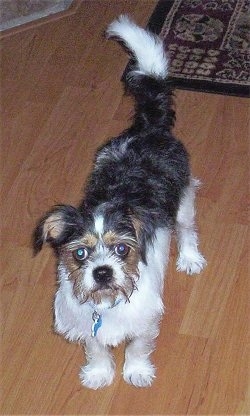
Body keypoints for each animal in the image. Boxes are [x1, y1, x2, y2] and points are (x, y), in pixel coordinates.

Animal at [33, 16, 206, 390]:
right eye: (80, 253)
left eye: (122, 249)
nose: (102, 272)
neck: (105, 305)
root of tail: (146, 129)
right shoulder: (86, 324)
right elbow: (96, 348)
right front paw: (99, 374)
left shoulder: (144, 318)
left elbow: (138, 346)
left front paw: (137, 372)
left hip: (184, 200)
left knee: (187, 229)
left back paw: (190, 259)